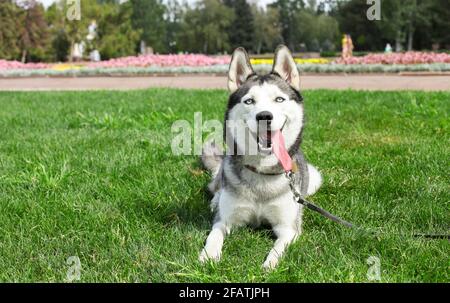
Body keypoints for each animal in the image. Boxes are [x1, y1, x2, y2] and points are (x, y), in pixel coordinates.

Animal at [200, 44, 320, 268]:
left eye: (279, 99)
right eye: (249, 101)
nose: (264, 116)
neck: (262, 172)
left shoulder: (288, 229)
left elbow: (278, 248)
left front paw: (269, 265)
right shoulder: (225, 221)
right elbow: (214, 234)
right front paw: (208, 255)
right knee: (216, 187)